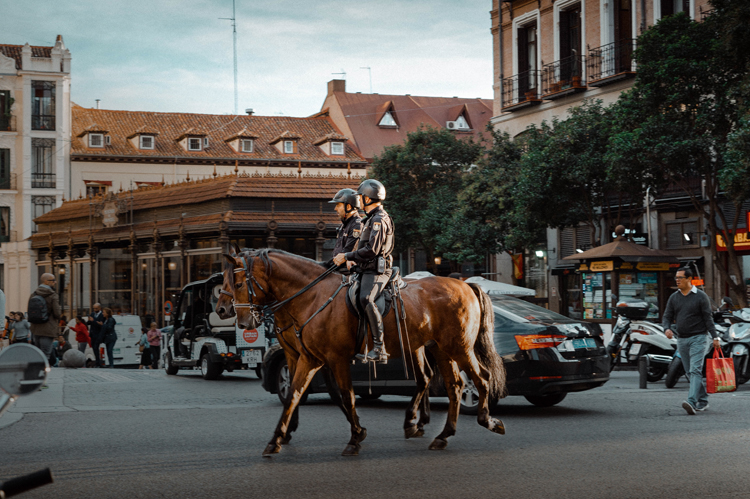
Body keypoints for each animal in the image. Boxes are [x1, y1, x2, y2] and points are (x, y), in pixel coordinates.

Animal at [220, 247, 508, 458]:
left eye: (237, 283)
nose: (230, 314)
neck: (311, 296)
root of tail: (466, 285)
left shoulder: (334, 359)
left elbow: (345, 395)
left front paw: (356, 435)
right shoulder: (307, 358)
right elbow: (294, 394)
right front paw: (277, 437)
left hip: (459, 348)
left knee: (480, 378)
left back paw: (487, 420)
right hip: (440, 349)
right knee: (452, 385)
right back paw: (441, 433)